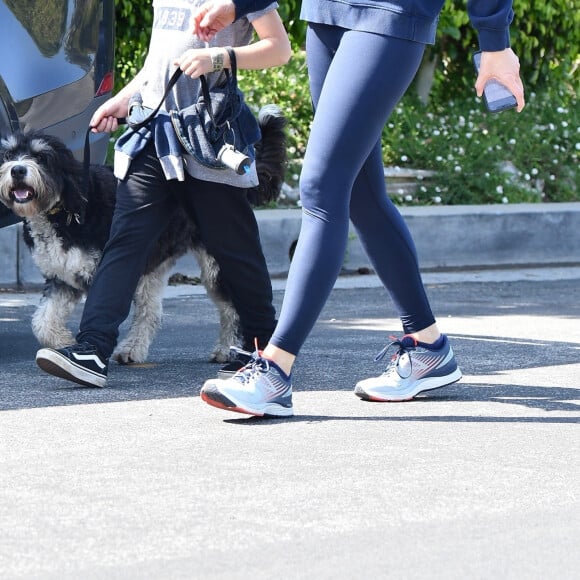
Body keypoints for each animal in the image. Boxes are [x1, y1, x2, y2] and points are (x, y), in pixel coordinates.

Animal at [0, 105, 286, 362]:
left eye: (41, 157)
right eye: (9, 155)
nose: (17, 170)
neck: (66, 206)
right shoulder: (62, 278)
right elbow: (42, 321)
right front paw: (63, 341)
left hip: (215, 263)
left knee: (232, 308)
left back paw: (228, 350)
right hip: (153, 265)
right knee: (152, 312)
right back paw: (132, 350)